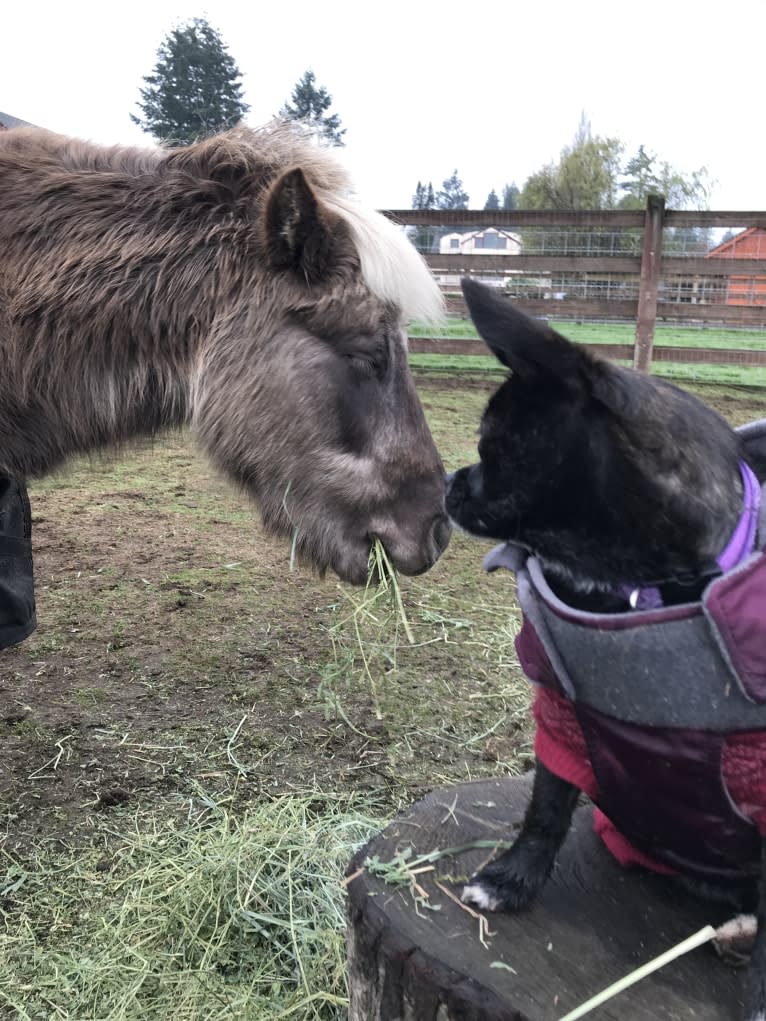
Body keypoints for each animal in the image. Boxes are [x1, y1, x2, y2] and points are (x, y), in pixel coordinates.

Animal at [447, 279, 766, 1021]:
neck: (638, 590)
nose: (449, 482)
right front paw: (510, 879)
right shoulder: (563, 711)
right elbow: (546, 803)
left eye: (492, 446)